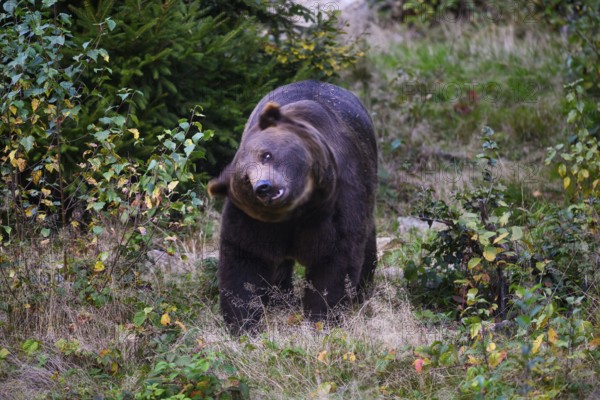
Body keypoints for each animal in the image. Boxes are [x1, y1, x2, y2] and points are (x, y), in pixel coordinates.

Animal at [206, 79, 376, 332]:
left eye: (266, 155)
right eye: (246, 178)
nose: (263, 187)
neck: (297, 212)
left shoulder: (338, 200)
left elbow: (337, 257)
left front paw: (323, 316)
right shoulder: (252, 221)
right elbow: (245, 257)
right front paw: (243, 321)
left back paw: (363, 290)